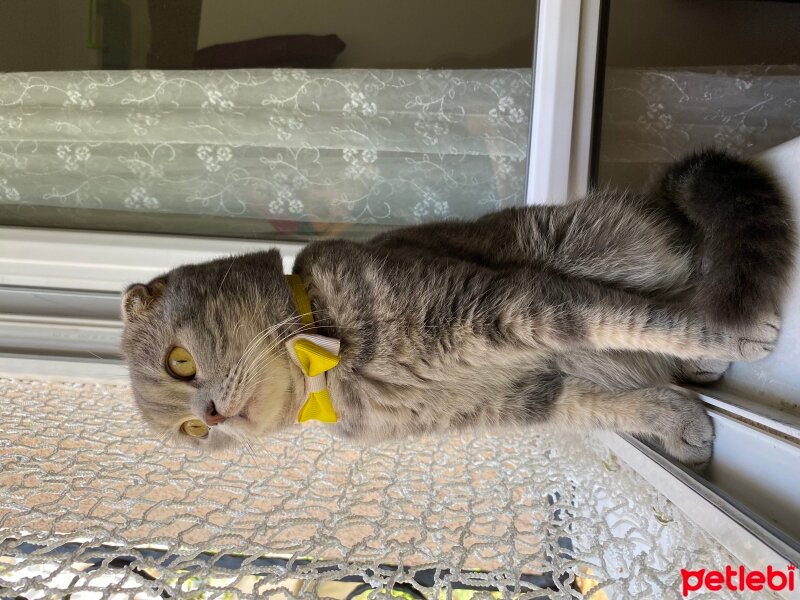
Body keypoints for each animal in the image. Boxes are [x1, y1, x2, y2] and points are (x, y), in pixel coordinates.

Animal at [120, 150, 792, 468]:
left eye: (180, 362)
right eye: (190, 435)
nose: (209, 418)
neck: (330, 369)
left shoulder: (516, 305)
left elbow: (643, 322)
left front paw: (728, 337)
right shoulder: (525, 396)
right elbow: (611, 404)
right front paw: (675, 417)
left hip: (589, 245)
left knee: (690, 266)